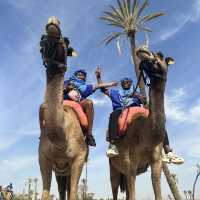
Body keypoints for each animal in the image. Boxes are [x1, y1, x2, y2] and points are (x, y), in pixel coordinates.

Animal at [38, 16, 87, 200]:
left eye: (67, 40)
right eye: (42, 40)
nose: (53, 21)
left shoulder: (79, 158)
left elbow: (73, 193)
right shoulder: (43, 158)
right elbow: (45, 193)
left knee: (66, 189)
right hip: (60, 171)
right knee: (61, 189)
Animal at [108, 48, 174, 200]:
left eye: (161, 55)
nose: (143, 50)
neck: (146, 135)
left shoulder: (156, 162)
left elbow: (158, 193)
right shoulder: (130, 165)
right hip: (113, 168)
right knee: (114, 188)